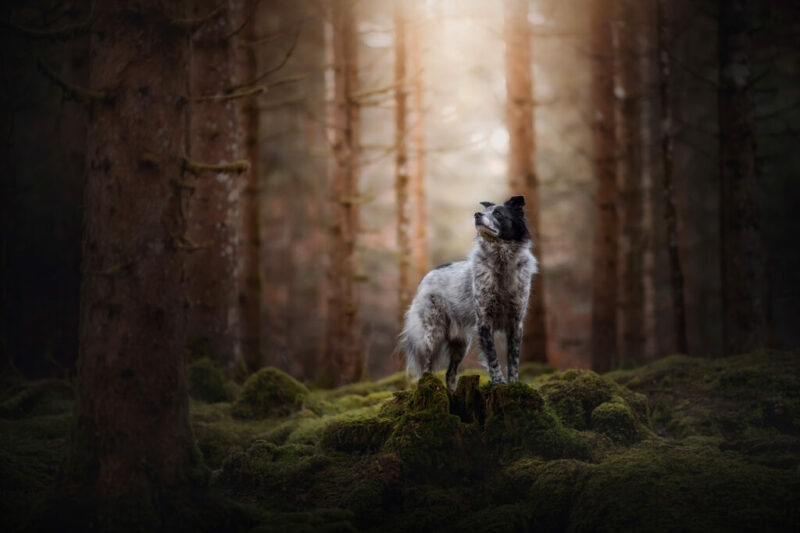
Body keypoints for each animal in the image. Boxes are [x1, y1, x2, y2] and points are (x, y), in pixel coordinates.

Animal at [398, 193, 536, 388]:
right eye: (484, 211)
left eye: (498, 213)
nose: (477, 214)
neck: (502, 262)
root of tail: (426, 277)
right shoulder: (484, 321)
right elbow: (493, 358)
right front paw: (498, 382)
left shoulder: (516, 323)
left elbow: (513, 361)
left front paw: (514, 384)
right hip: (432, 334)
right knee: (426, 369)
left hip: (461, 344)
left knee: (450, 373)